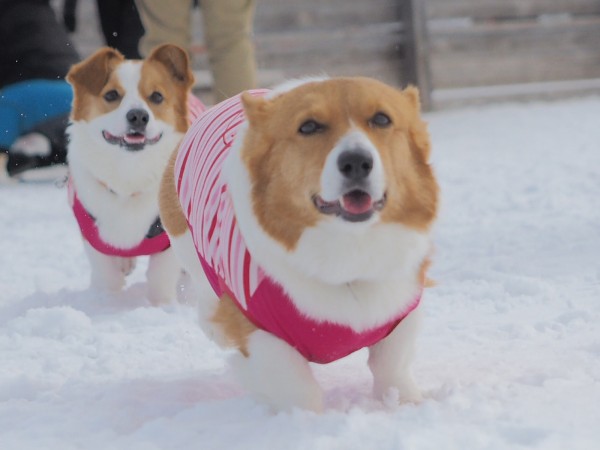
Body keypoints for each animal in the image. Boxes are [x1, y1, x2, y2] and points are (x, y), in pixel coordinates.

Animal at [67, 44, 200, 304]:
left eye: (157, 97)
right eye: (111, 95)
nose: (138, 116)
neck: (129, 172)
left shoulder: (169, 235)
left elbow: (160, 276)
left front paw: (161, 304)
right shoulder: (91, 231)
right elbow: (107, 274)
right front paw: (108, 301)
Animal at [159, 76, 440, 412]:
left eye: (382, 119)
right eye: (309, 126)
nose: (357, 161)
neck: (348, 253)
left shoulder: (401, 308)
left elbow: (392, 365)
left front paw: (405, 402)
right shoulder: (260, 333)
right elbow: (296, 386)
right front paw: (303, 418)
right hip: (184, 240)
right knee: (203, 284)